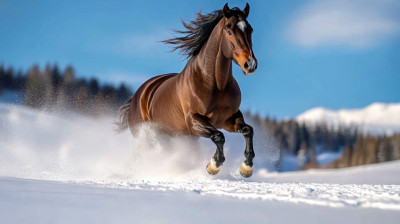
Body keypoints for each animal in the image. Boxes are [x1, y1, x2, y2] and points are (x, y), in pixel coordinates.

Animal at [117, 3, 258, 177]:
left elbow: (247, 130)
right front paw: (214, 165)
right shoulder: (194, 121)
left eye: (250, 29)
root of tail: (139, 94)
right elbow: (219, 136)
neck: (215, 85)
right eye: (229, 30)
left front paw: (246, 167)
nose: (250, 64)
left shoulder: (228, 118)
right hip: (149, 136)